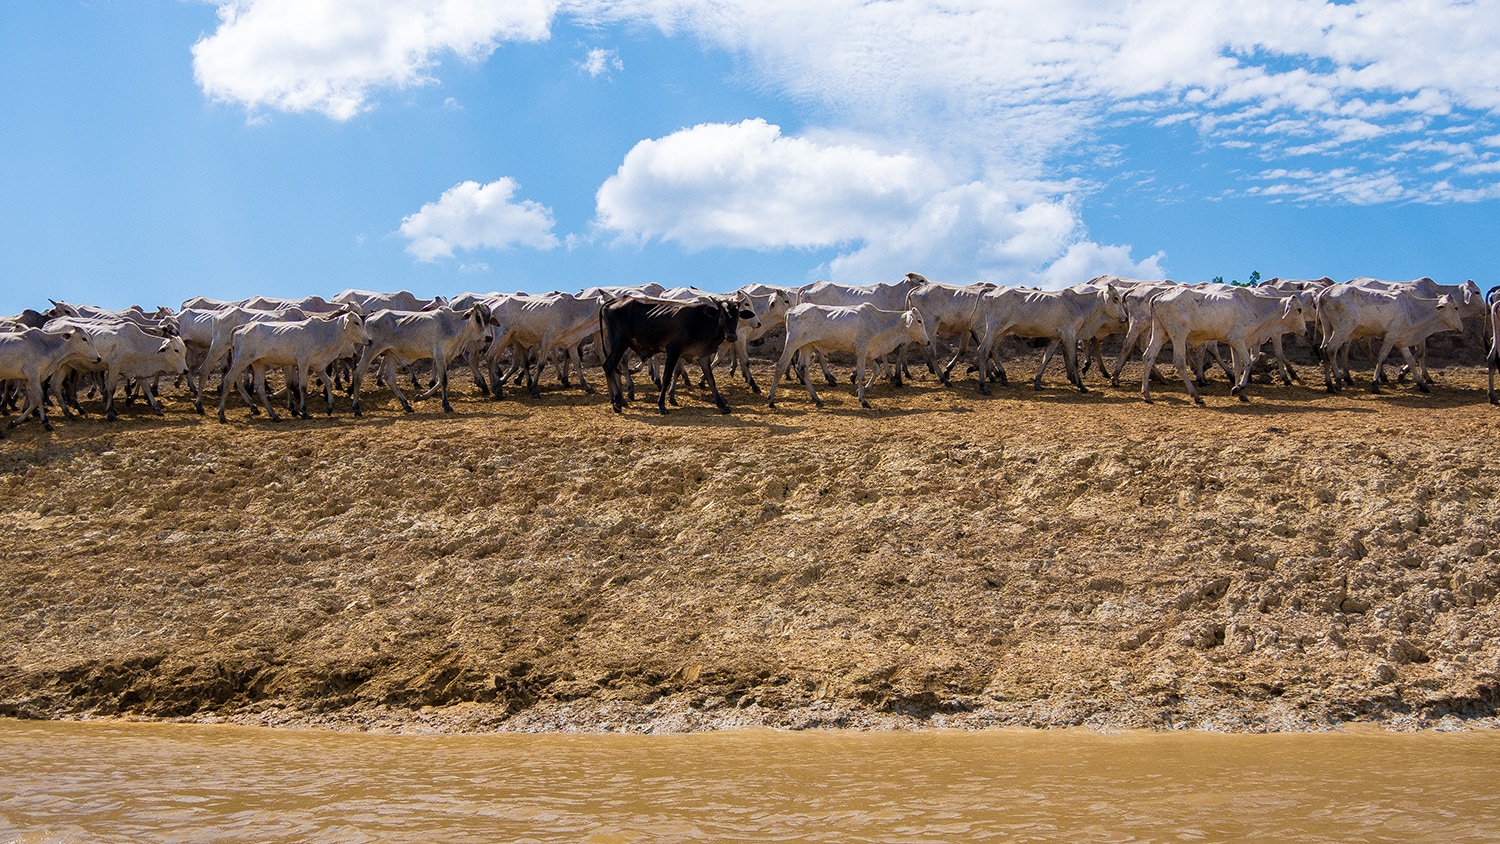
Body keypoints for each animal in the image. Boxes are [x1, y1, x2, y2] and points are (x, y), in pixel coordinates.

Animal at [599, 297, 755, 414]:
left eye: (737, 316)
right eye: (722, 315)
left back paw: (617, 399)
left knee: (612, 367)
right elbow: (667, 377)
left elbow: (711, 379)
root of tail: (614, 301)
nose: (731, 337)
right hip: (620, 343)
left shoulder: (702, 355)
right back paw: (617, 402)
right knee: (609, 366)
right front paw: (661, 405)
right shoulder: (673, 351)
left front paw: (721, 404)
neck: (702, 322)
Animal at [766, 304, 930, 409]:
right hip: (792, 343)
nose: (928, 341)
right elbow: (861, 374)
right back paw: (771, 400)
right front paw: (863, 400)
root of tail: (791, 310)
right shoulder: (862, 350)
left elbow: (876, 369)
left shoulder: (868, 352)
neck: (879, 323)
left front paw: (865, 389)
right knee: (780, 365)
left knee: (802, 369)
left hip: (807, 346)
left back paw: (817, 399)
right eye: (919, 321)